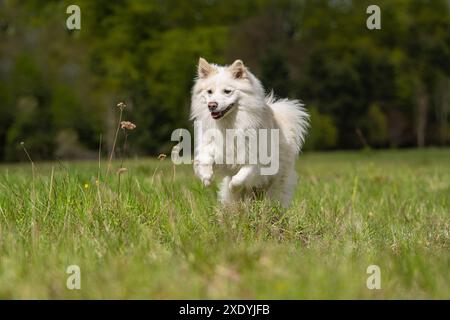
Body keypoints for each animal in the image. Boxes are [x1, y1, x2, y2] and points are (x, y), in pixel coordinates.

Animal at [190, 57, 310, 208]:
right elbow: (205, 159)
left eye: (227, 91)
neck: (229, 124)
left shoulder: (256, 161)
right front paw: (206, 179)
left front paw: (233, 185)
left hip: (275, 187)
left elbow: (240, 177)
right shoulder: (214, 148)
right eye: (209, 91)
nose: (211, 105)